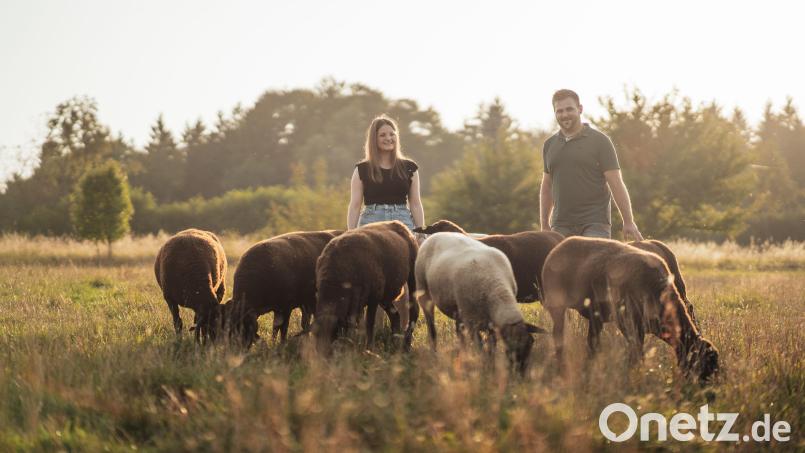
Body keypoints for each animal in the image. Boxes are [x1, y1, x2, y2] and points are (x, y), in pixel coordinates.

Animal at [313, 221, 419, 354]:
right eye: (316, 335)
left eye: (333, 332)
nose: (323, 355)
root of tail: (397, 223)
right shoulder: (356, 301)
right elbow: (354, 325)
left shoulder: (373, 297)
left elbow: (369, 324)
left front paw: (368, 348)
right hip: (384, 295)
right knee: (394, 315)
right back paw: (395, 343)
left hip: (412, 278)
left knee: (414, 311)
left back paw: (407, 344)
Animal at [415, 232, 546, 374]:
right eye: (511, 345)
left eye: (530, 345)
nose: (520, 375)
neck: (498, 292)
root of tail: (434, 235)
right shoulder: (472, 324)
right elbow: (480, 347)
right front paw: (485, 368)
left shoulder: (490, 322)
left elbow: (492, 346)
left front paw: (491, 365)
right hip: (424, 292)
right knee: (431, 327)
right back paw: (435, 353)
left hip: (459, 309)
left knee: (459, 333)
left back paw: (463, 355)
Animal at [541, 237, 719, 383]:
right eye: (702, 364)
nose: (710, 392)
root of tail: (559, 247)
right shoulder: (629, 323)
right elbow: (636, 352)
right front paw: (637, 375)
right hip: (556, 305)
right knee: (559, 334)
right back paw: (562, 364)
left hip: (595, 315)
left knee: (592, 341)